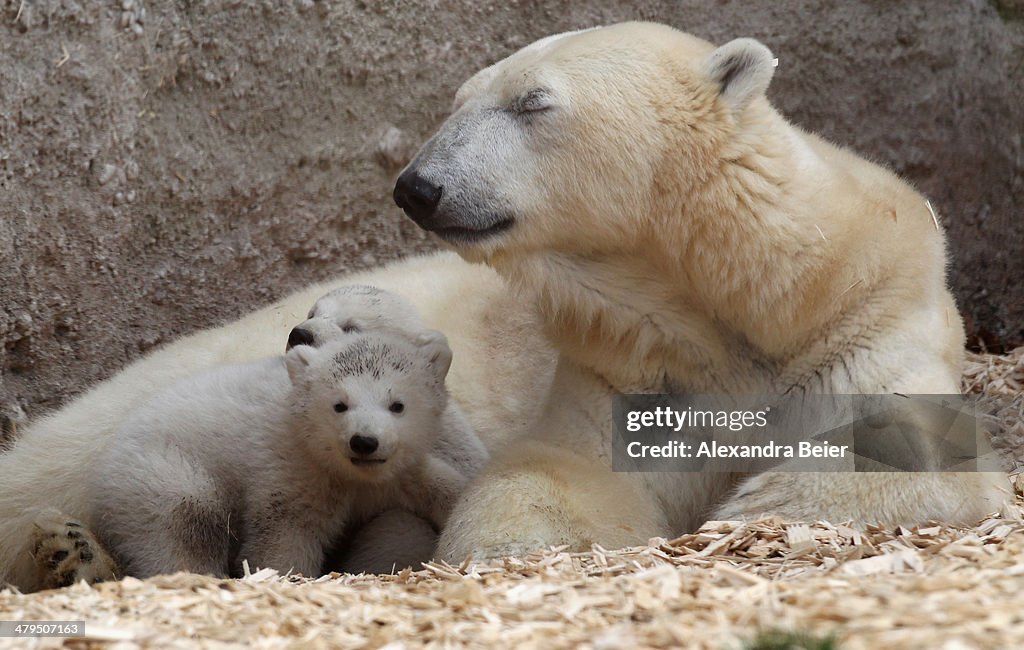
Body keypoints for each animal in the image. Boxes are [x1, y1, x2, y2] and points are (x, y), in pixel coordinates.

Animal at [0, 22, 1003, 585]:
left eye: (532, 102)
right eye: (459, 98)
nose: (418, 186)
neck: (735, 297)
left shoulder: (865, 316)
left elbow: (904, 448)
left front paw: (756, 505)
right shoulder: (627, 360)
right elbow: (560, 474)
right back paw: (65, 546)